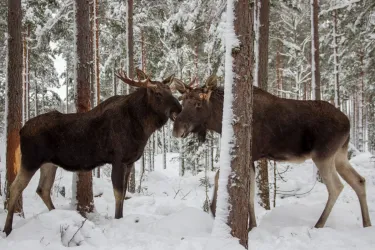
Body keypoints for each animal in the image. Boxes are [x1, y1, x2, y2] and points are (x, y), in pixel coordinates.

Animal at [2, 69, 182, 236]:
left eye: (170, 90)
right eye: (158, 93)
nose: (179, 109)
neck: (142, 128)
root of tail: (21, 130)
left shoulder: (130, 161)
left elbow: (124, 193)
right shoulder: (118, 159)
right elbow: (118, 194)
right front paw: (118, 219)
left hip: (49, 163)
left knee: (42, 189)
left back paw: (55, 213)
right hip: (30, 160)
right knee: (15, 187)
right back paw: (7, 228)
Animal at [173, 75, 374, 230]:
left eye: (198, 103)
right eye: (183, 101)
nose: (176, 129)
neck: (220, 123)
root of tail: (348, 122)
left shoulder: (251, 153)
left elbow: (238, 186)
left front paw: (240, 221)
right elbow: (229, 181)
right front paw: (220, 211)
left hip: (323, 155)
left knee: (336, 187)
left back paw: (319, 224)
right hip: (339, 155)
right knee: (359, 180)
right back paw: (366, 223)